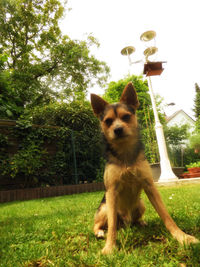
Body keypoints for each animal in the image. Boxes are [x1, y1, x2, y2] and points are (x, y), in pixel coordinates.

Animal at [90, 82, 198, 255]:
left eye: (126, 117)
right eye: (108, 121)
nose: (117, 129)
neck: (125, 152)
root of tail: (125, 223)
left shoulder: (149, 186)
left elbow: (166, 215)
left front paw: (182, 237)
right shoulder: (111, 191)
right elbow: (112, 225)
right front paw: (109, 248)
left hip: (141, 204)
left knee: (134, 220)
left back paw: (140, 223)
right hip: (105, 207)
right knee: (100, 224)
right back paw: (100, 232)